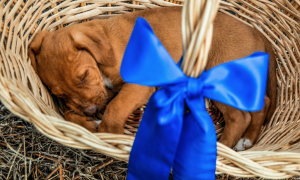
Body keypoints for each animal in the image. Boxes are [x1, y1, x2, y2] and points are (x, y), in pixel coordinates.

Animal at [28, 6, 276, 150]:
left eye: (84, 76)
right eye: (59, 94)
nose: (91, 112)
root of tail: (257, 33)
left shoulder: (137, 85)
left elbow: (115, 109)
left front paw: (110, 134)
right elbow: (68, 113)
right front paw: (89, 124)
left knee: (239, 117)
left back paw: (222, 148)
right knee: (262, 103)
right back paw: (247, 140)